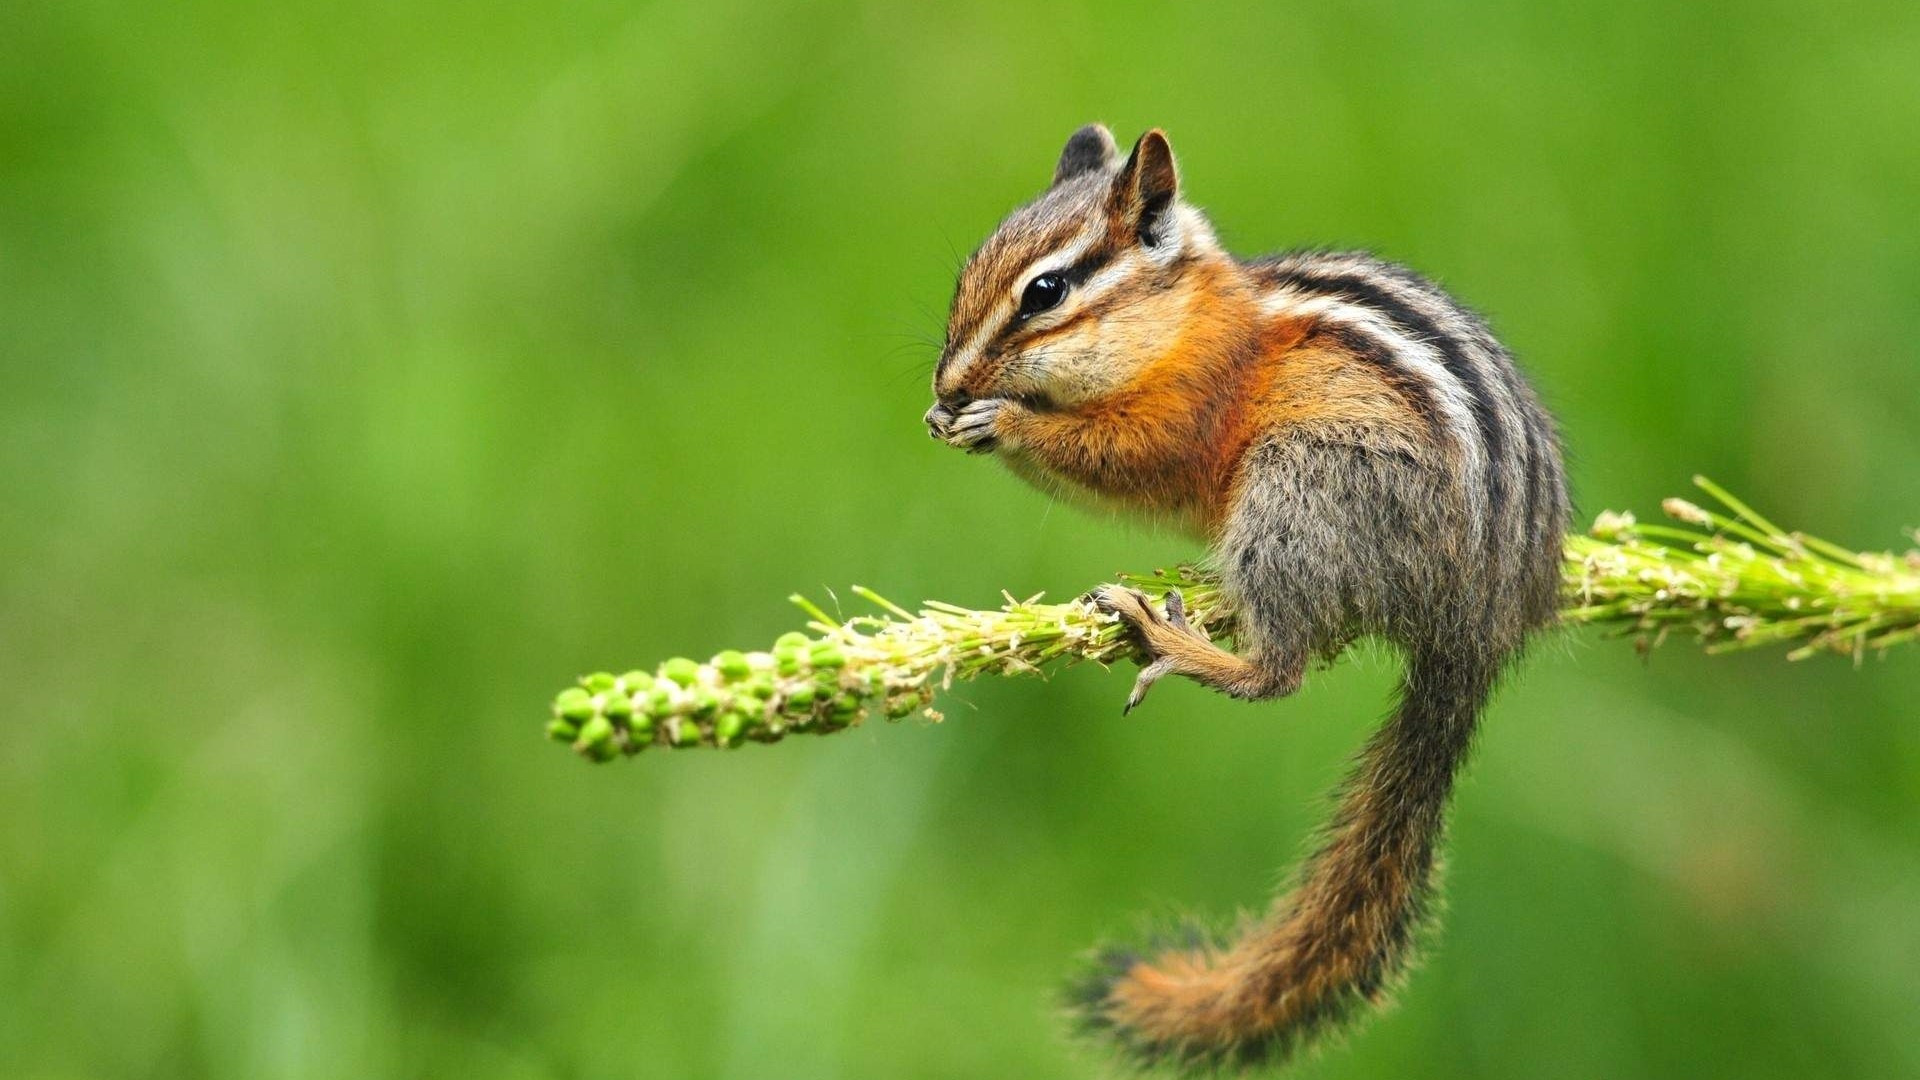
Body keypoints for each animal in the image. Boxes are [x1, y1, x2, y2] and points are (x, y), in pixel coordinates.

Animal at [924, 125, 1568, 1071]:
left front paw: (1001, 422)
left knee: (1279, 673)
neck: (1185, 325)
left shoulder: (1188, 412)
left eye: (1046, 291)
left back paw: (1169, 642)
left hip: (1298, 490)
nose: (945, 388)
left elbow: (1131, 457)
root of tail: (1478, 622)